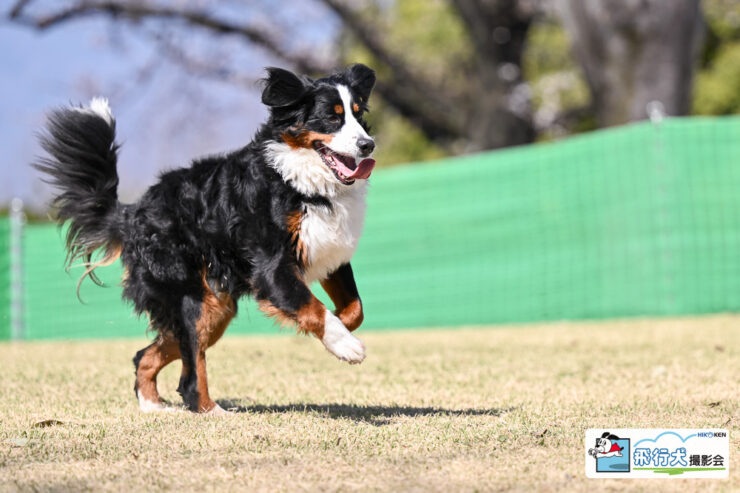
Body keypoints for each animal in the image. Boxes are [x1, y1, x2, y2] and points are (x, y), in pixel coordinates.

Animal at [36, 64, 377, 414]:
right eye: (331, 117)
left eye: (357, 113)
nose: (368, 145)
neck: (298, 178)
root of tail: (132, 213)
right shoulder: (272, 268)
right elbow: (312, 307)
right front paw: (346, 346)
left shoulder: (331, 255)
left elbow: (354, 309)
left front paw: (337, 329)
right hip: (192, 300)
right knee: (189, 374)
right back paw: (213, 412)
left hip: (214, 309)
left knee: (147, 355)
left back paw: (153, 406)